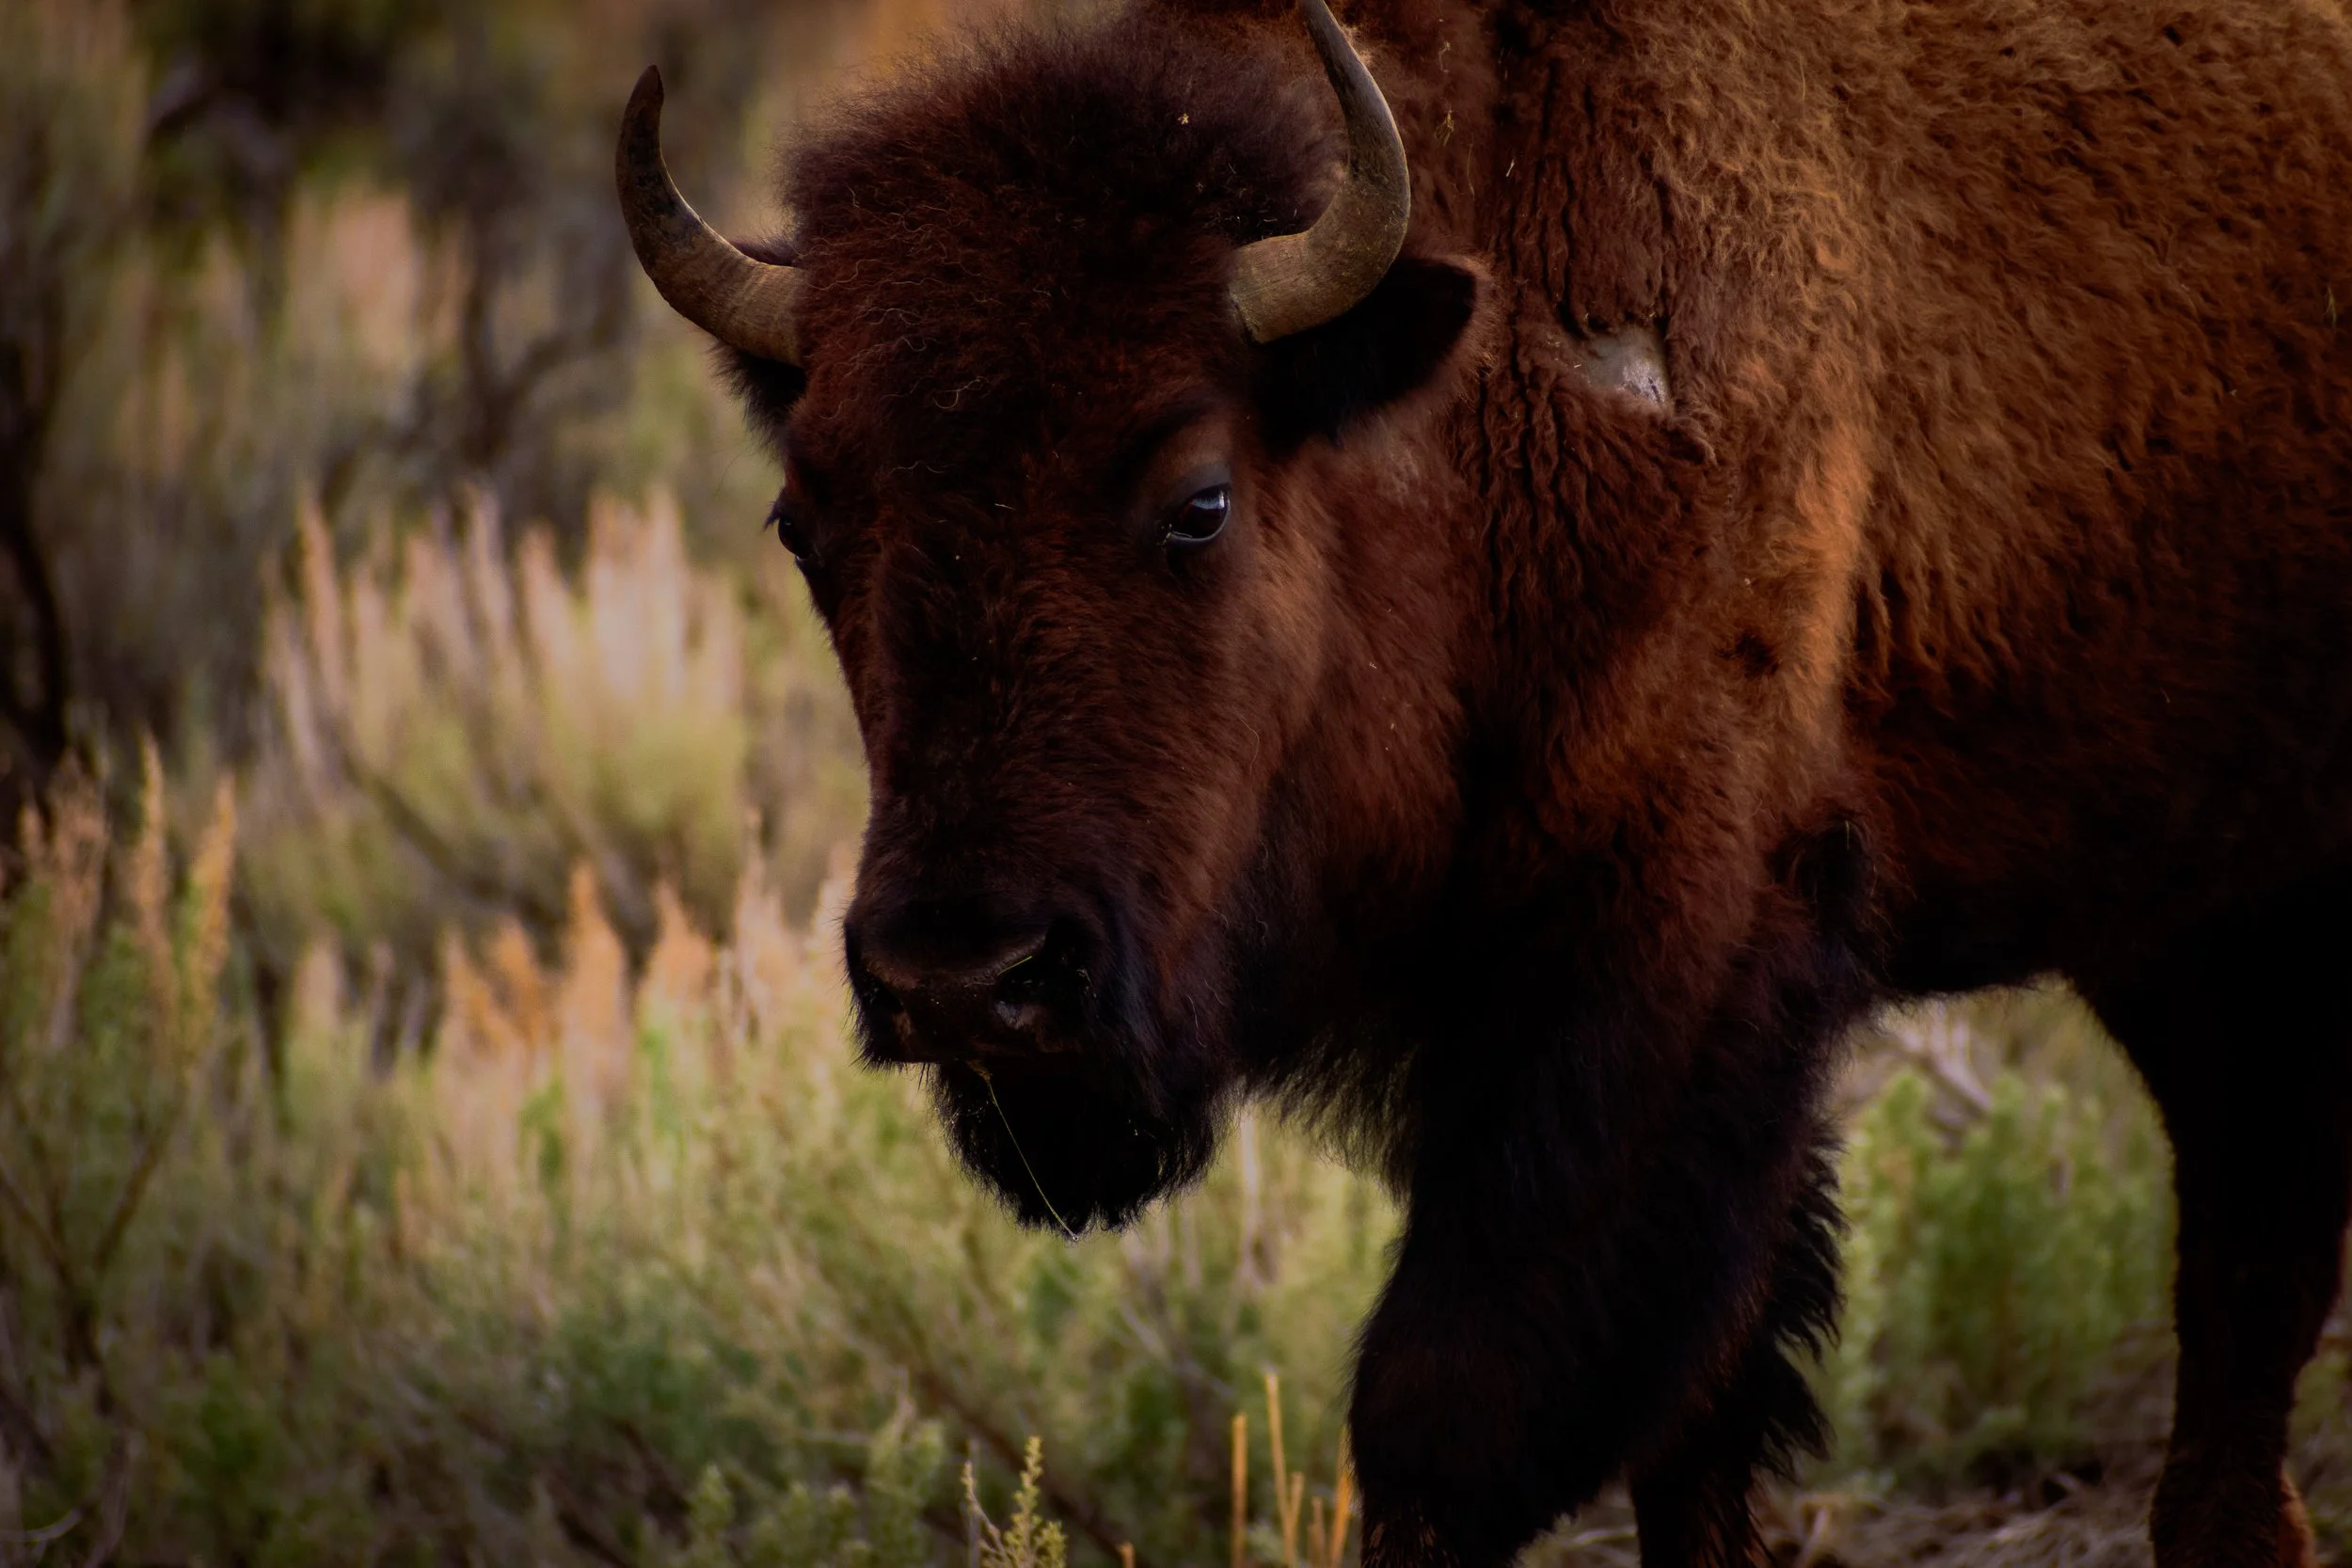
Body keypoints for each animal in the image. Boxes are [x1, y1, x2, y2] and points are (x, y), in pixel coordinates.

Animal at [615, 0, 2352, 1561]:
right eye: (802, 521)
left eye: (1200, 498)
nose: (964, 978)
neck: (1483, 389)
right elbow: (1690, 1424)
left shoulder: (1660, 961)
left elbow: (1453, 1407)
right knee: (2247, 1245)